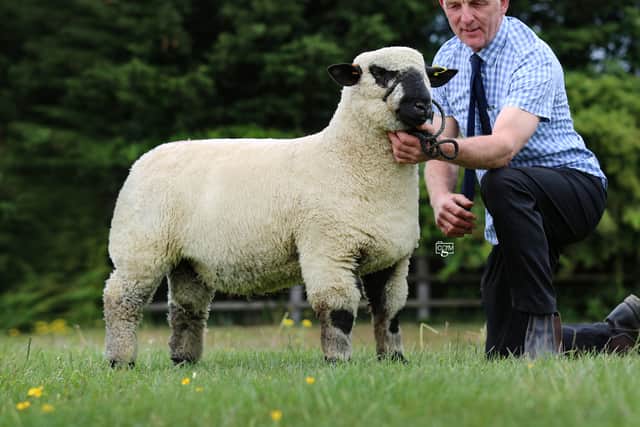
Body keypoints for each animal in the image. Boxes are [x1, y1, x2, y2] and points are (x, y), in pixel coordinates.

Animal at [103, 46, 457, 367]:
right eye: (380, 73)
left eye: (428, 74)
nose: (422, 105)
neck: (344, 160)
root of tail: (145, 159)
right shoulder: (329, 248)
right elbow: (339, 311)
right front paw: (338, 361)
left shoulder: (393, 257)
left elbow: (390, 313)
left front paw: (394, 360)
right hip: (141, 246)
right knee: (120, 299)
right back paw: (120, 361)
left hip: (189, 260)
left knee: (186, 308)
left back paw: (184, 360)